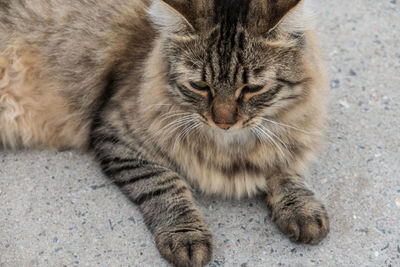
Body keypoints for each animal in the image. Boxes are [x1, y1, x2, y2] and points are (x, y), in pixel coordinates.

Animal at [0, 0, 328, 267]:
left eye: (252, 89)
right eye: (200, 86)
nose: (223, 122)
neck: (231, 147)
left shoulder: (291, 136)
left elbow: (286, 170)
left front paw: (301, 208)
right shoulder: (117, 134)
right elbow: (165, 184)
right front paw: (187, 236)